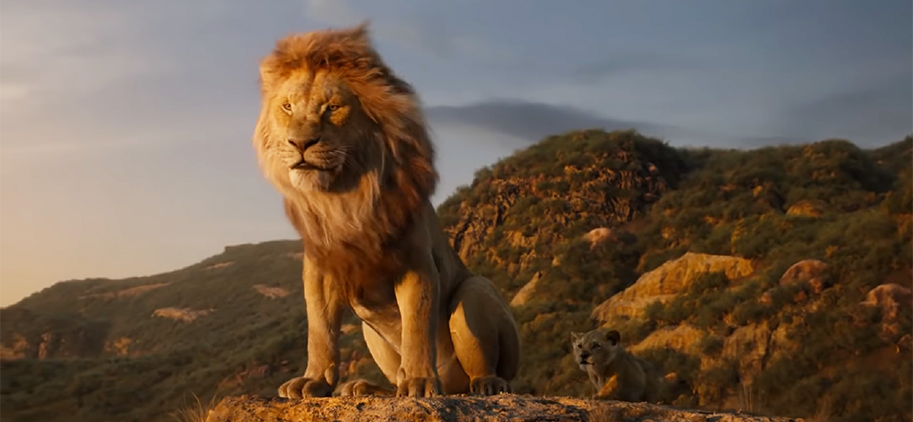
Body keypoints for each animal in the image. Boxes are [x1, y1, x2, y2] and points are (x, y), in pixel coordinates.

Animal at [252, 23, 521, 398]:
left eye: (332, 107)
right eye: (288, 107)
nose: (300, 143)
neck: (344, 197)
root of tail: (454, 387)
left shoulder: (416, 263)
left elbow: (417, 328)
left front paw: (420, 382)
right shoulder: (320, 270)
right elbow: (320, 332)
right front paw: (314, 381)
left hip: (476, 291)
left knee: (486, 367)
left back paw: (486, 383)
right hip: (371, 333)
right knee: (393, 377)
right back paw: (364, 388)